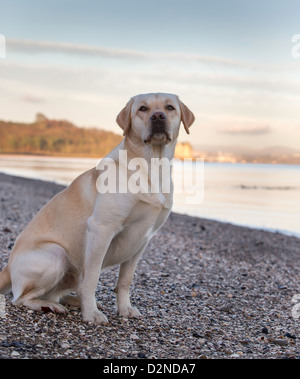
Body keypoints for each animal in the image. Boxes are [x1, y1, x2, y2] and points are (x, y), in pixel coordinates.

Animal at [0, 93, 195, 326]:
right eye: (143, 108)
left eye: (170, 107)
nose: (158, 116)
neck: (152, 166)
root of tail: (7, 268)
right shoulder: (101, 229)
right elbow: (92, 279)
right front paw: (91, 314)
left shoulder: (143, 239)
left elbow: (125, 281)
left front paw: (124, 308)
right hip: (56, 254)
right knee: (20, 298)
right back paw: (51, 306)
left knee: (54, 293)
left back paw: (71, 301)